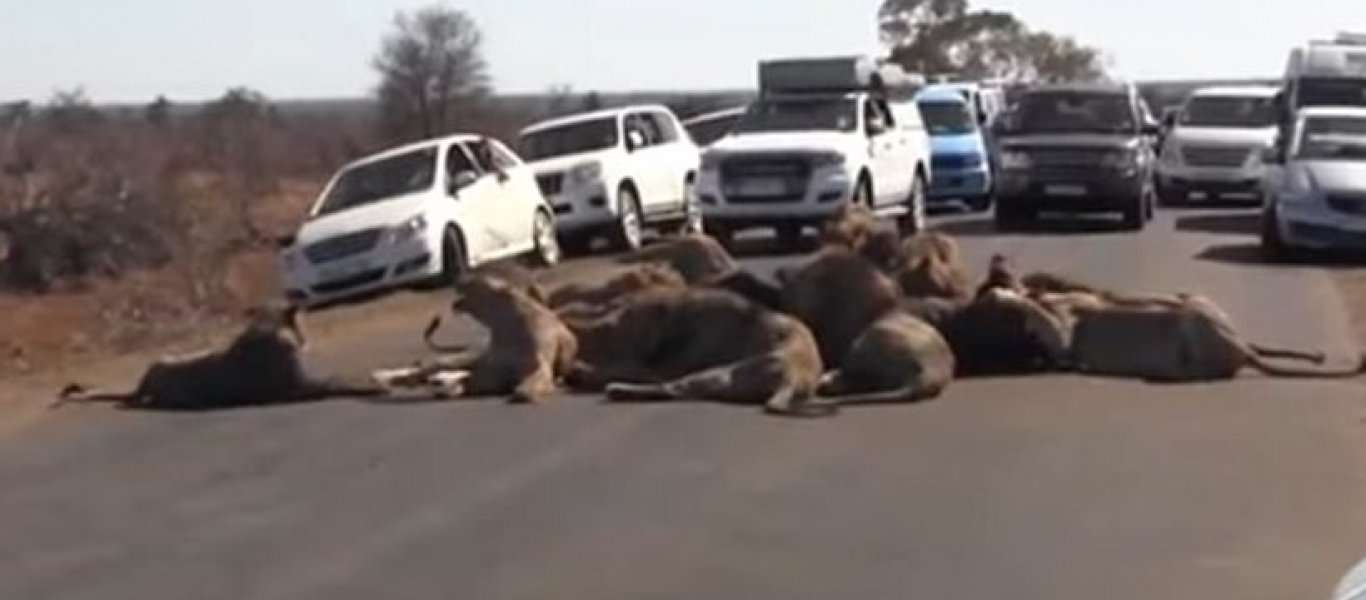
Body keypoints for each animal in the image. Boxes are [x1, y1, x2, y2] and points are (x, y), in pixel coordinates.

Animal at [56, 303, 382, 410]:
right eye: (302, 327)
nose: (306, 340)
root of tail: (143, 384)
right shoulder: (297, 386)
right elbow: (337, 380)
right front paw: (374, 384)